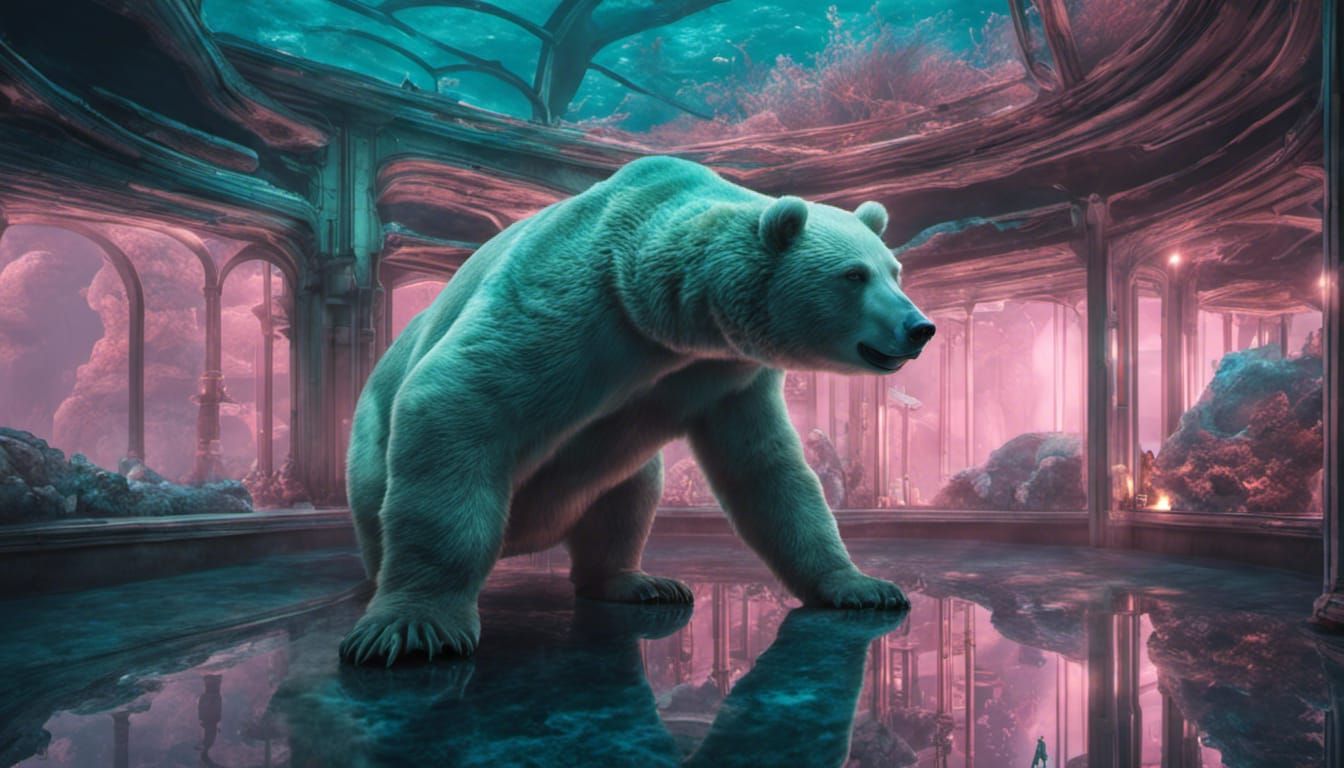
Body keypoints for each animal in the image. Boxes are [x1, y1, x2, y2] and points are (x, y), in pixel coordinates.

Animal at [340, 156, 935, 665]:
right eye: (854, 275)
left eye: (895, 270)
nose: (919, 327)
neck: (659, 312)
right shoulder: (568, 302)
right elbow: (458, 398)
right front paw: (413, 626)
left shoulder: (725, 374)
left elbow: (768, 470)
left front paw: (863, 585)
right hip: (367, 453)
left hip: (612, 478)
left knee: (627, 500)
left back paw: (640, 581)